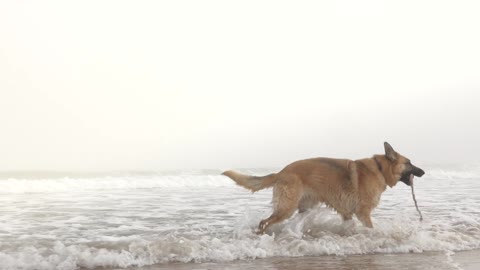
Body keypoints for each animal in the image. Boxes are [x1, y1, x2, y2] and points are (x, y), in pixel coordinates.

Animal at [223, 142, 426, 233]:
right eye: (409, 163)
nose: (423, 172)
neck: (380, 168)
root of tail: (281, 172)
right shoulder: (363, 213)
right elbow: (370, 227)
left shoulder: (348, 213)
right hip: (286, 209)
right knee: (264, 222)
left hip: (303, 208)